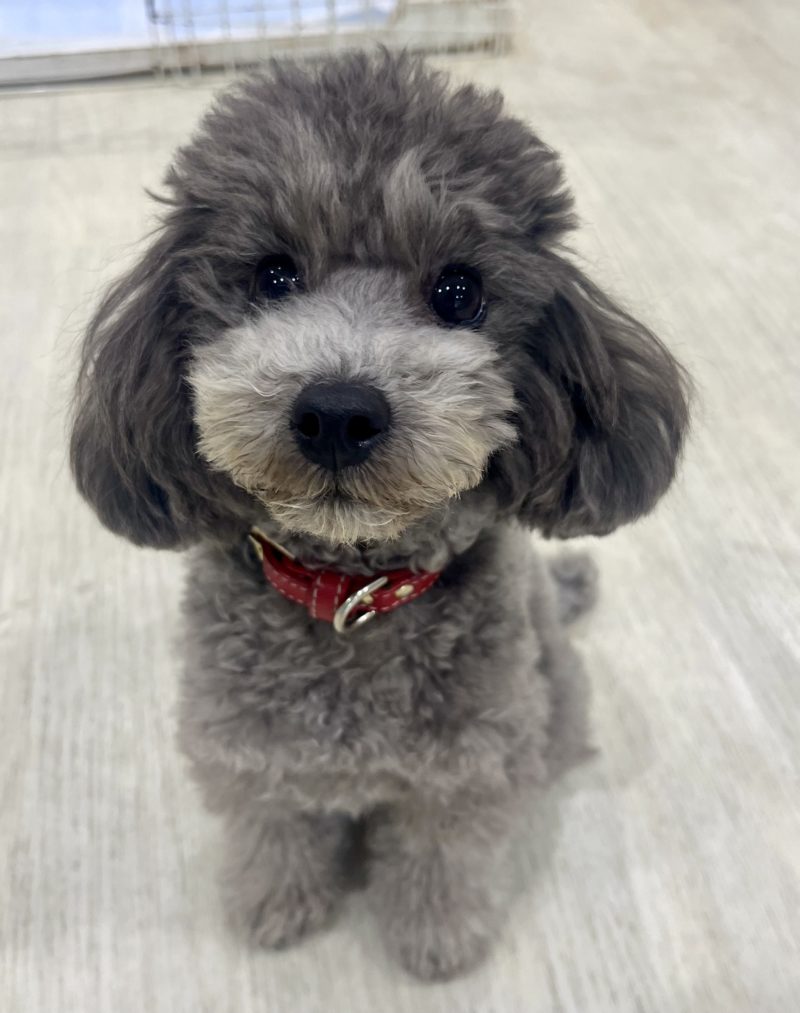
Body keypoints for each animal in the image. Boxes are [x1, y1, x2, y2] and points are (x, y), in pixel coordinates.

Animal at [70, 51, 690, 980]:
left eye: (459, 291)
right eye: (273, 275)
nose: (336, 411)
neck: (350, 596)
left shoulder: (462, 777)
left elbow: (440, 862)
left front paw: (437, 942)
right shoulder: (251, 758)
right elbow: (276, 834)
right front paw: (280, 907)